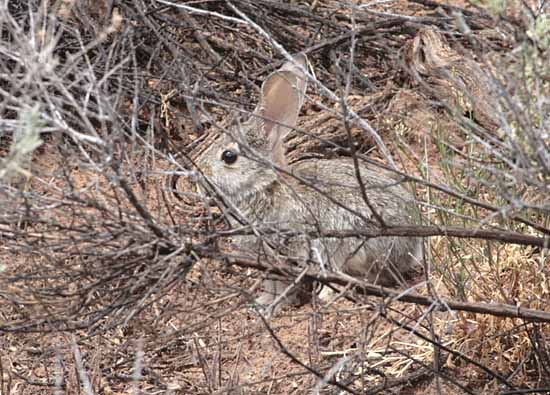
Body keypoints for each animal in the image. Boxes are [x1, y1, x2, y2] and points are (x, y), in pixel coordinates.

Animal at [196, 53, 424, 312]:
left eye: (229, 156)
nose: (201, 172)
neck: (265, 185)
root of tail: (412, 248)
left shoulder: (288, 248)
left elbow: (282, 283)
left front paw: (275, 305)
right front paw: (261, 303)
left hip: (347, 244)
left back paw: (328, 294)